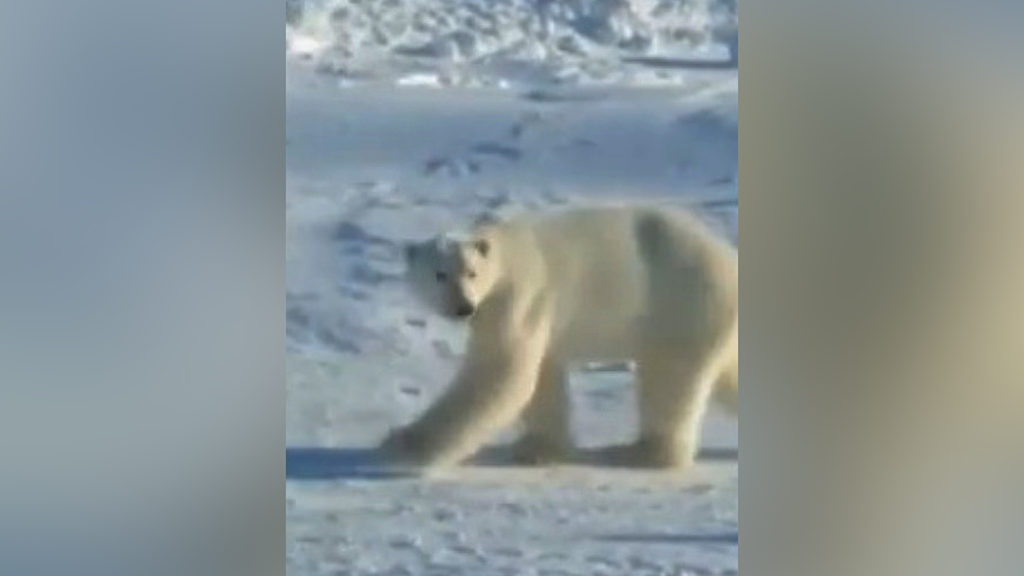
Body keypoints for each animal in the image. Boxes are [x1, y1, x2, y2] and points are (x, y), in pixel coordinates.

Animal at [381, 204, 737, 470]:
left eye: (471, 272)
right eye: (439, 274)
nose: (463, 307)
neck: (505, 250)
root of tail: (728, 258)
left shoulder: (516, 297)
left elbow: (498, 370)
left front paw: (406, 444)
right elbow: (541, 378)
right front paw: (539, 449)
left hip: (681, 304)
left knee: (669, 379)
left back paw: (642, 452)